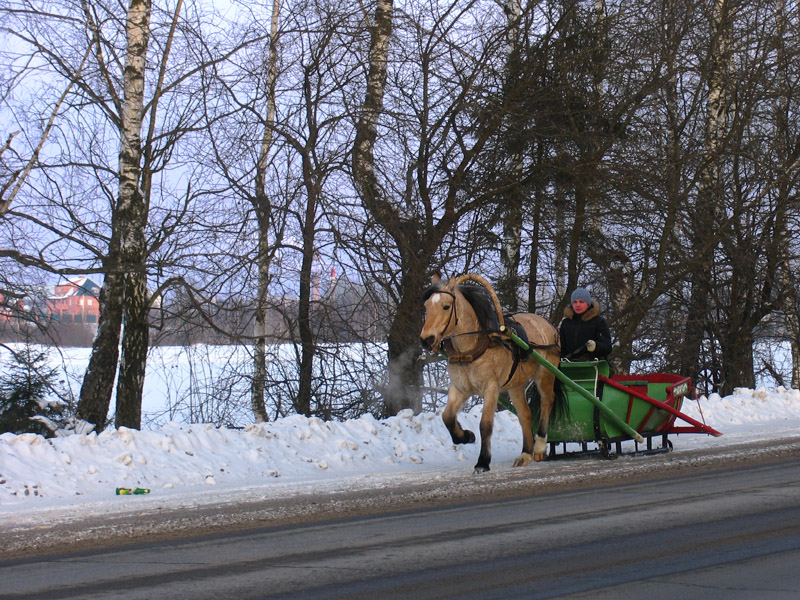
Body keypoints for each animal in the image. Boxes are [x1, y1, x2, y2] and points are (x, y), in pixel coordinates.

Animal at [418, 274, 564, 474]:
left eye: (446, 306)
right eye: (426, 306)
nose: (427, 339)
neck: (472, 348)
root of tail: (548, 324)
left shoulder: (491, 388)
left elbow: (486, 424)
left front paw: (482, 462)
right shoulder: (459, 388)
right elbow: (447, 417)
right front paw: (465, 436)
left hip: (545, 372)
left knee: (547, 400)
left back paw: (540, 446)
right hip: (516, 384)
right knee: (525, 414)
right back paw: (526, 453)